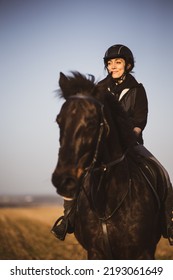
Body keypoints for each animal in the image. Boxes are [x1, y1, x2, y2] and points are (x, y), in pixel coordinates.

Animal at [51, 72, 165, 260]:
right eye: (59, 120)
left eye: (91, 121)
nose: (63, 180)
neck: (108, 201)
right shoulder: (96, 252)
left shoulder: (144, 253)